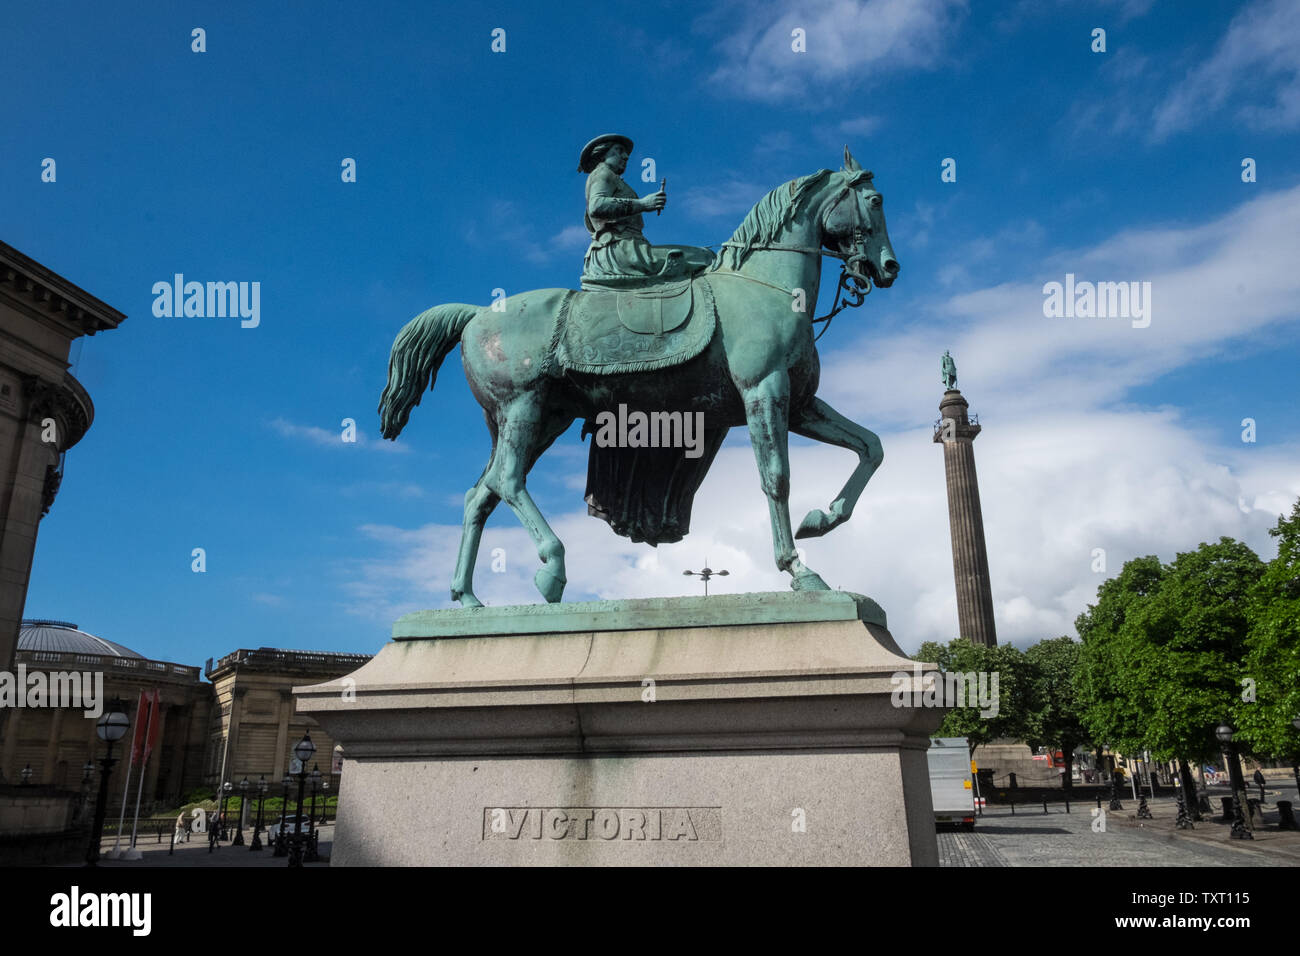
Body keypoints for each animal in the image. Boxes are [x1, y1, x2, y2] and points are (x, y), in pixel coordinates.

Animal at [379, 143, 899, 606]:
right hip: (523, 407)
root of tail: (475, 315)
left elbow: (870, 447)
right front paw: (798, 569)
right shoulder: (765, 391)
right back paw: (552, 568)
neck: (765, 286)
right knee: (506, 481)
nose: (889, 267)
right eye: (875, 200)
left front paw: (822, 519)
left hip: (539, 419)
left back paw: (468, 598)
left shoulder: (801, 405)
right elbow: (777, 477)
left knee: (479, 495)